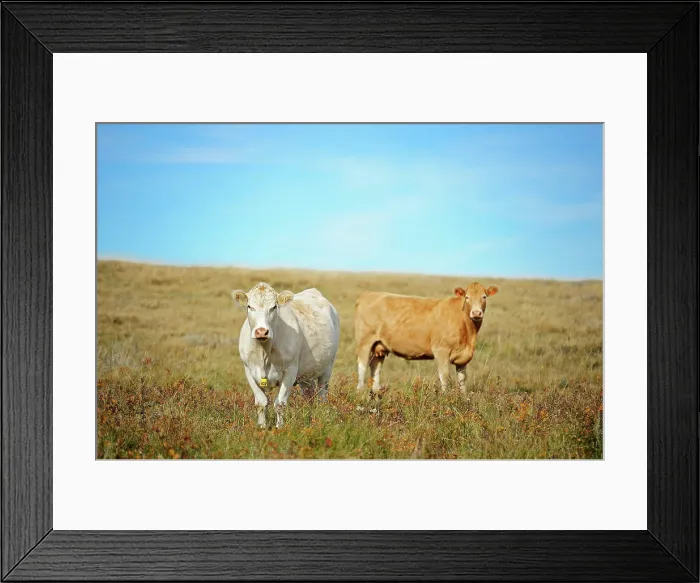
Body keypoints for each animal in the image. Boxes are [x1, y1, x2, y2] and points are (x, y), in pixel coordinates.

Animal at [231, 282, 340, 428]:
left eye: (273, 307)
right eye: (250, 306)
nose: (261, 331)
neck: (264, 352)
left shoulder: (290, 371)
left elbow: (280, 403)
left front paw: (279, 427)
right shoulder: (249, 371)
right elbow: (261, 402)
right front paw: (262, 427)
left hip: (327, 369)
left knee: (322, 394)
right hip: (306, 375)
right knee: (309, 395)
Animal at [354, 282, 499, 394]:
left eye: (484, 297)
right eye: (467, 297)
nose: (476, 313)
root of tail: (367, 294)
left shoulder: (463, 356)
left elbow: (462, 379)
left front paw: (464, 398)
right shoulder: (441, 350)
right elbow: (444, 376)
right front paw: (446, 398)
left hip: (379, 346)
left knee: (375, 367)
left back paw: (376, 392)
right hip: (364, 342)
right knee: (362, 367)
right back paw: (360, 392)